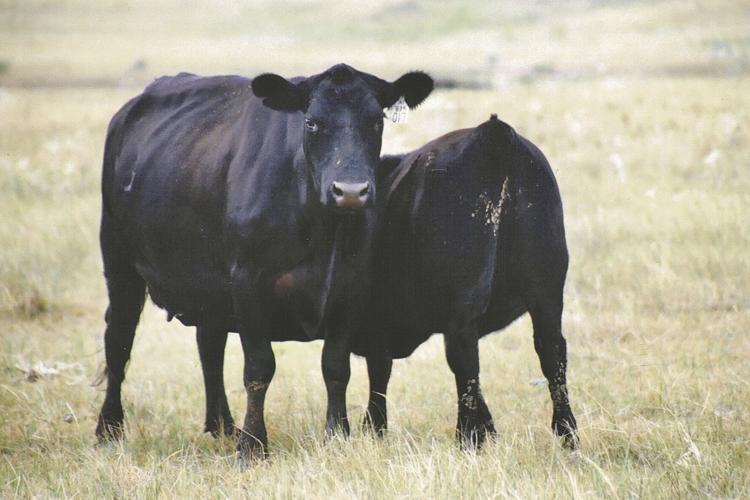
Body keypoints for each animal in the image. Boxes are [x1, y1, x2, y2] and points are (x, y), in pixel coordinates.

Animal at [95, 63, 434, 460]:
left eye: (376, 121)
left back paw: (222, 426)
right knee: (118, 340)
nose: (351, 191)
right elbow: (259, 368)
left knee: (209, 346)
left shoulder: (350, 287)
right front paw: (253, 446)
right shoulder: (248, 283)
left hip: (208, 286)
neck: (321, 231)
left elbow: (336, 366)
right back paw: (109, 429)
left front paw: (337, 436)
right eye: (312, 122)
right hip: (119, 262)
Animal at [354, 114, 578, 449]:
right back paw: (567, 434)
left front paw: (374, 429)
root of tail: (493, 132)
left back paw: (468, 438)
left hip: (463, 301)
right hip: (546, 290)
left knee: (465, 361)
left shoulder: (376, 324)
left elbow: (379, 373)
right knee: (551, 351)